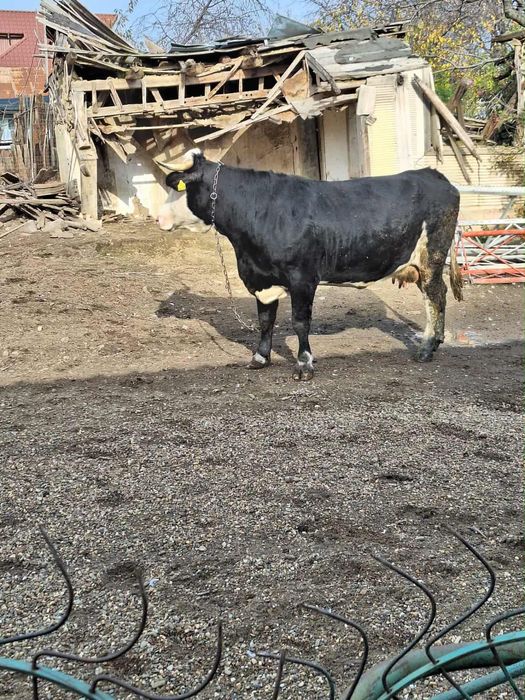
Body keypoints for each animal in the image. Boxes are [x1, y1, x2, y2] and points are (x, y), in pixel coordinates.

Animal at [162, 148, 463, 381]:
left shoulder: (302, 278)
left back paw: (426, 349)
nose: (159, 218)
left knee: (435, 297)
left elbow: (300, 322)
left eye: (176, 187)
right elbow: (265, 321)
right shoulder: (263, 278)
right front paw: (260, 358)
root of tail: (432, 174)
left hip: (431, 258)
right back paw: (435, 343)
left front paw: (304, 364)